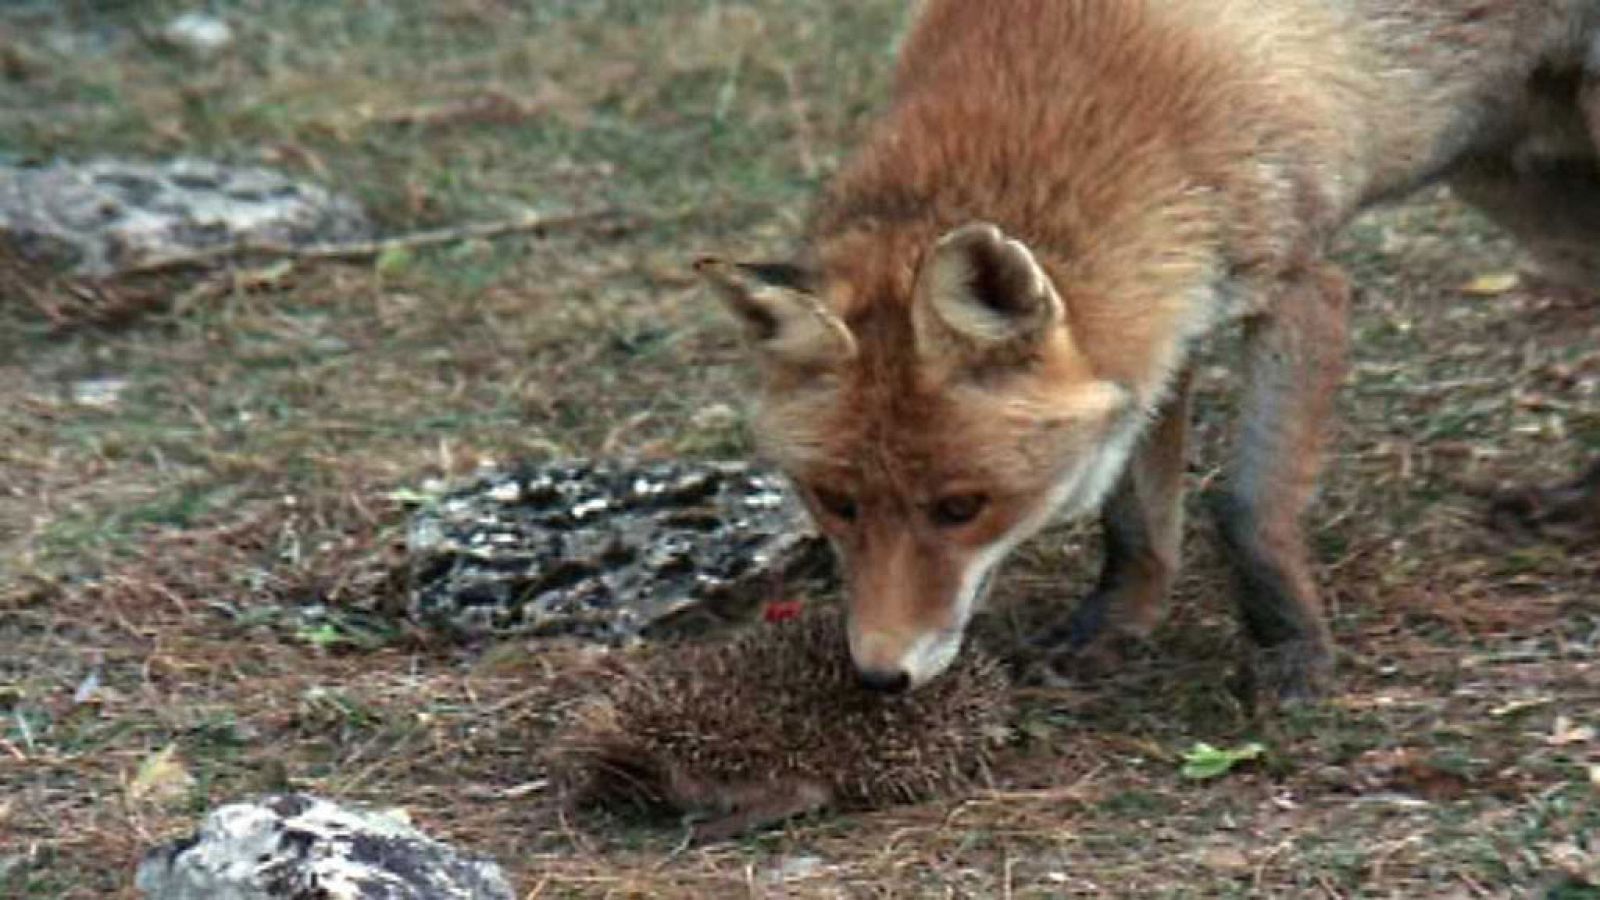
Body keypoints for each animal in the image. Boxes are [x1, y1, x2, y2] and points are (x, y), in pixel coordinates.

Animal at [700, 0, 1600, 698]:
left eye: (962, 507)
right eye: (836, 502)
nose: (881, 677)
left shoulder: (1298, 283)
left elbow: (1246, 507)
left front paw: (1291, 653)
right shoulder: (1159, 331)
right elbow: (1132, 519)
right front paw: (1113, 625)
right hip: (1521, 190)